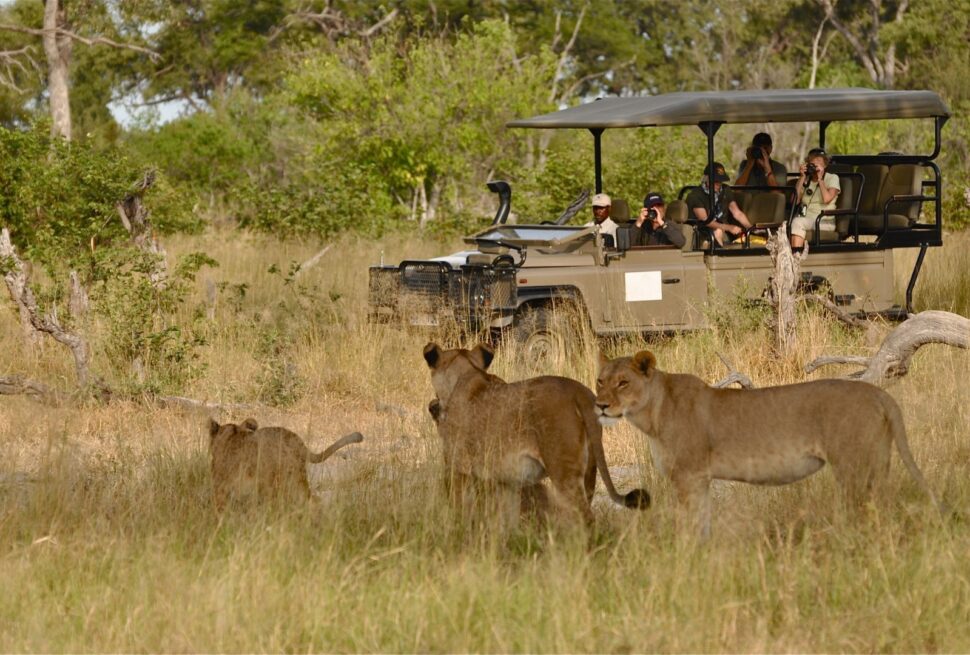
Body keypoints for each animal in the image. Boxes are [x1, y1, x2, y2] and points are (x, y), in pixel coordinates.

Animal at [423, 342, 650, 524]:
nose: (432, 405)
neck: (464, 374)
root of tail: (577, 391)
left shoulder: (457, 467)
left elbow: (458, 508)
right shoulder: (504, 480)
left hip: (563, 468)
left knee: (585, 517)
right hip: (590, 469)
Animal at [594, 350, 944, 538]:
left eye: (623, 383)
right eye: (600, 381)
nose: (600, 405)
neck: (651, 414)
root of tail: (878, 392)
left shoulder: (688, 477)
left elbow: (689, 524)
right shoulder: (700, 479)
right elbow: (703, 522)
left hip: (852, 467)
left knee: (863, 509)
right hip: (878, 463)